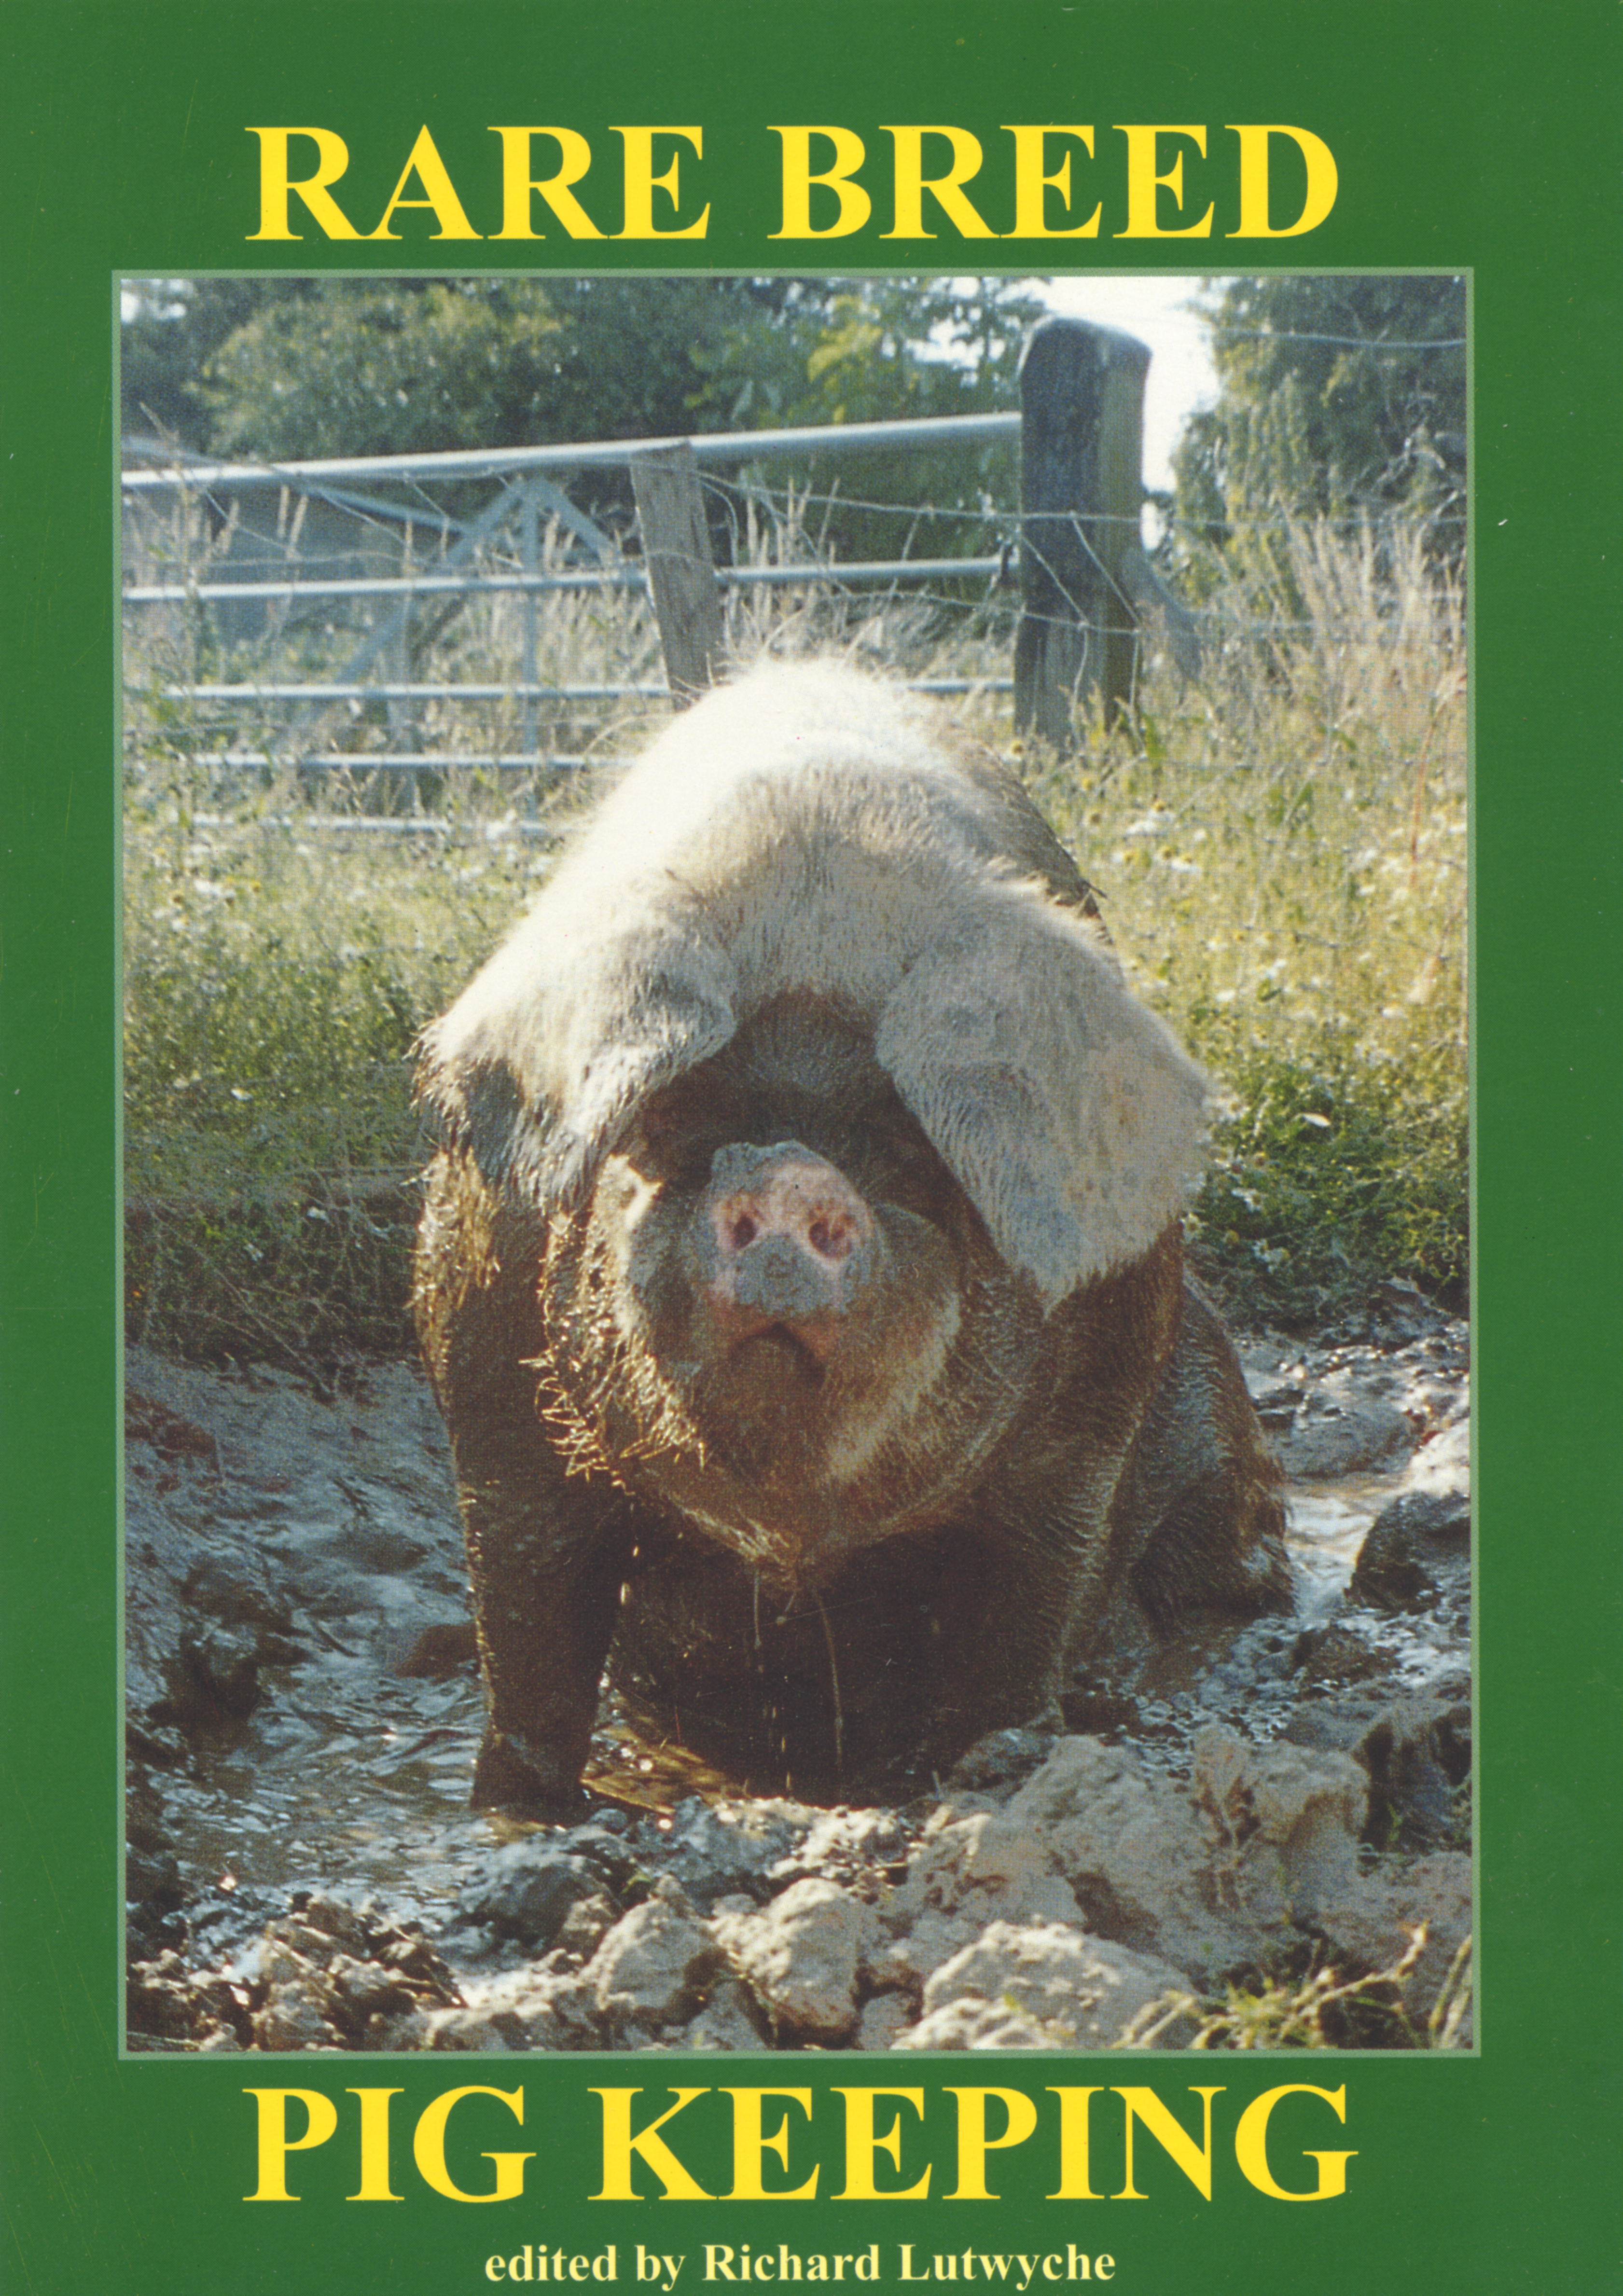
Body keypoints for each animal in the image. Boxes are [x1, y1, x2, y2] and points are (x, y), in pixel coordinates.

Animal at [414, 663, 1289, 1810]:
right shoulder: (488, 1395)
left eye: (905, 1148)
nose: (791, 1174)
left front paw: (1003, 1766)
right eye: (675, 1123)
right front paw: (514, 1806)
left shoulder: (1087, 1425)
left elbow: (1026, 1621)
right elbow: (527, 1643)